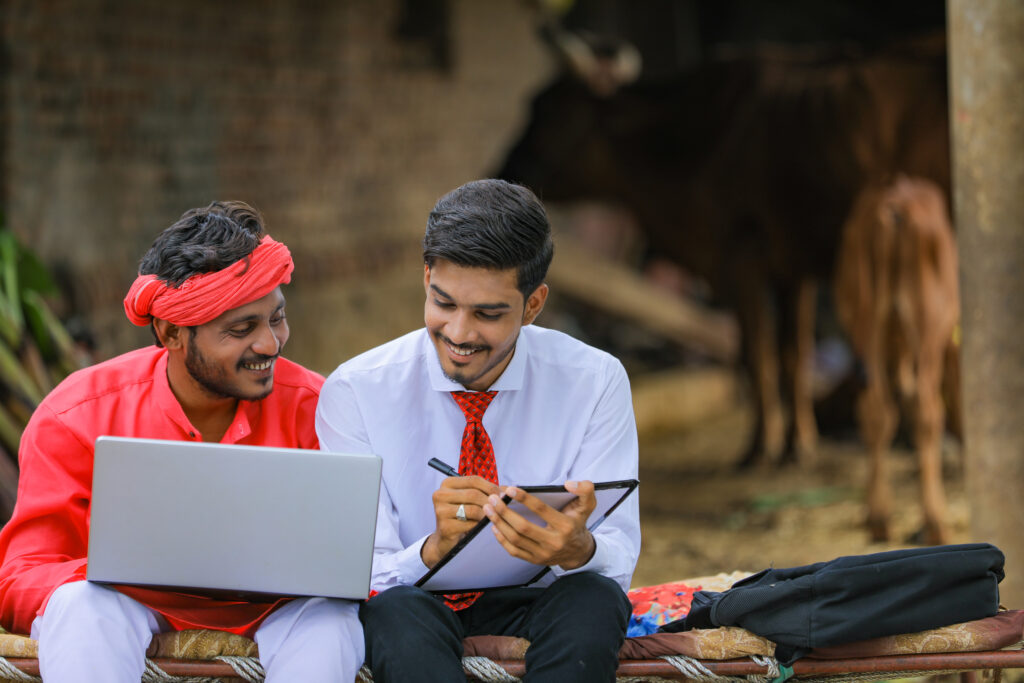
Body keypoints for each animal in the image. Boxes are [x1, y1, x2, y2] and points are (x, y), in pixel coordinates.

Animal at [831, 176, 958, 544]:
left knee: (874, 410)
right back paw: (935, 522)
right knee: (926, 412)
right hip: (927, 327)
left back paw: (878, 518)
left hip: (864, 323)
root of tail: (894, 204)